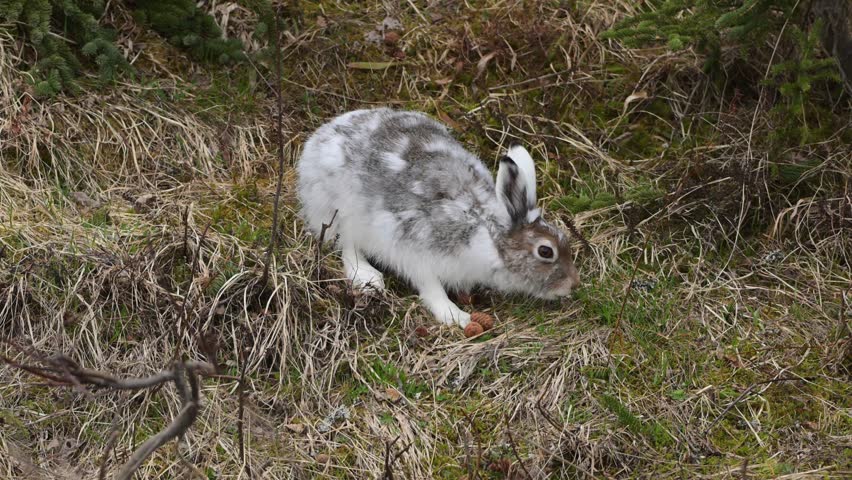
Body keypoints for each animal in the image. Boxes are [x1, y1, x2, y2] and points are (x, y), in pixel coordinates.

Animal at [296, 108, 580, 328]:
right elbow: (430, 286)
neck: (486, 232)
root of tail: (321, 137)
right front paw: (456, 316)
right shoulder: (417, 249)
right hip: (339, 211)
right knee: (346, 245)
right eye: (545, 251)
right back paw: (368, 277)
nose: (572, 285)